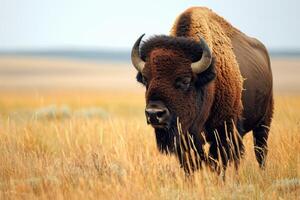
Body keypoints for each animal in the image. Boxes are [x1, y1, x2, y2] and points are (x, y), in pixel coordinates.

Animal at [130, 7, 274, 174]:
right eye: (146, 79)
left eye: (185, 81)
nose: (154, 114)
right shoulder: (186, 140)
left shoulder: (223, 132)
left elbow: (218, 163)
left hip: (264, 122)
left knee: (260, 151)